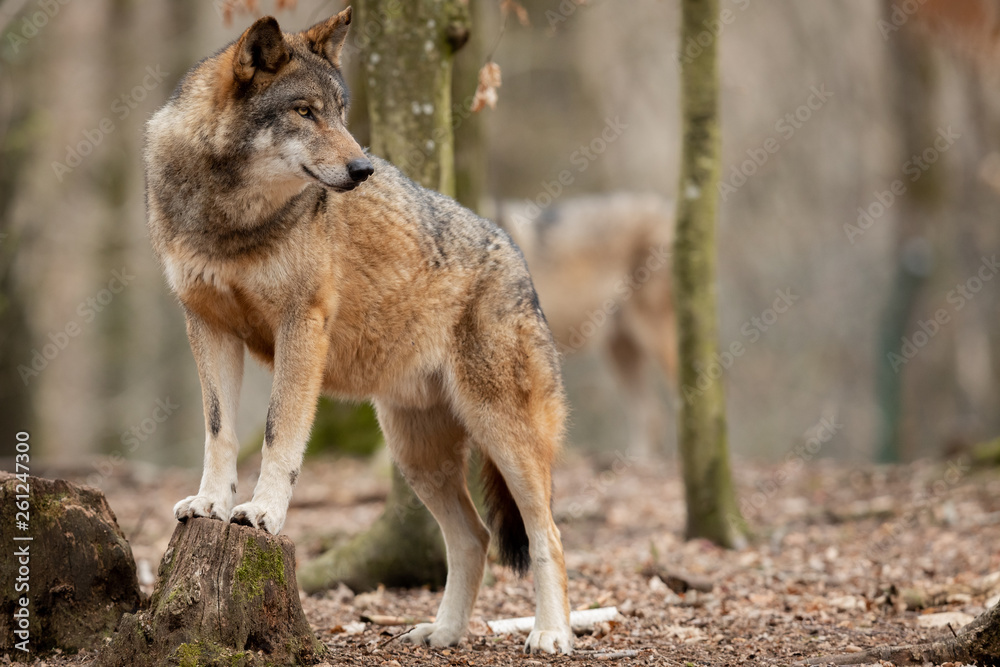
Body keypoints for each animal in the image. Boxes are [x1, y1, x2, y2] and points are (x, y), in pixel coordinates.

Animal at [144, 8, 572, 654]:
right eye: (305, 112)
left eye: (341, 112)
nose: (363, 168)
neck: (231, 218)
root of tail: (517, 257)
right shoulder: (207, 324)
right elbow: (219, 432)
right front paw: (212, 503)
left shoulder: (302, 323)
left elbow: (278, 433)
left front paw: (263, 513)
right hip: (416, 456)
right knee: (473, 538)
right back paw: (444, 633)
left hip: (504, 435)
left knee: (548, 534)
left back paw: (551, 635)